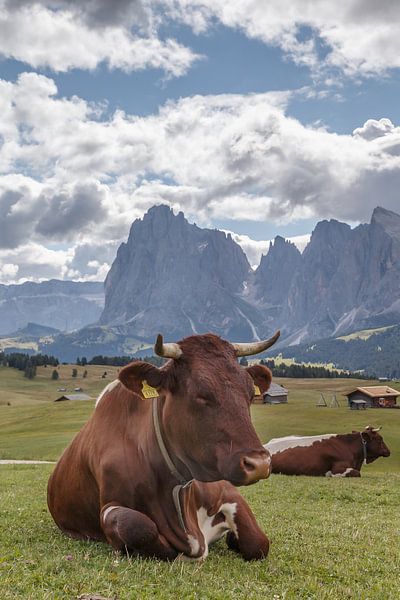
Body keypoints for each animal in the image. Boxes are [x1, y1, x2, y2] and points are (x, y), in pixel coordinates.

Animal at [47, 332, 278, 564]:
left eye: (250, 394)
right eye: (201, 394)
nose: (259, 463)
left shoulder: (225, 491)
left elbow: (258, 542)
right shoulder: (110, 505)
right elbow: (139, 527)